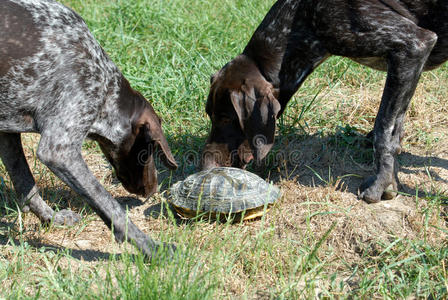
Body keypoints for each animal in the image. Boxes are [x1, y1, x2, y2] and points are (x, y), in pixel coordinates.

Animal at [0, 0, 178, 258]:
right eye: (149, 150)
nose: (153, 190)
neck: (104, 83)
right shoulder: (59, 150)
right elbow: (109, 204)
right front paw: (152, 247)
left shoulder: (7, 130)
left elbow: (25, 183)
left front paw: (51, 218)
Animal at [203, 0, 448, 204]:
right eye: (210, 115)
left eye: (226, 118)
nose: (205, 167)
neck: (301, 16)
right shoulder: (405, 65)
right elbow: (395, 130)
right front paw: (390, 180)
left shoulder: (412, 46)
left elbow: (383, 131)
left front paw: (379, 185)